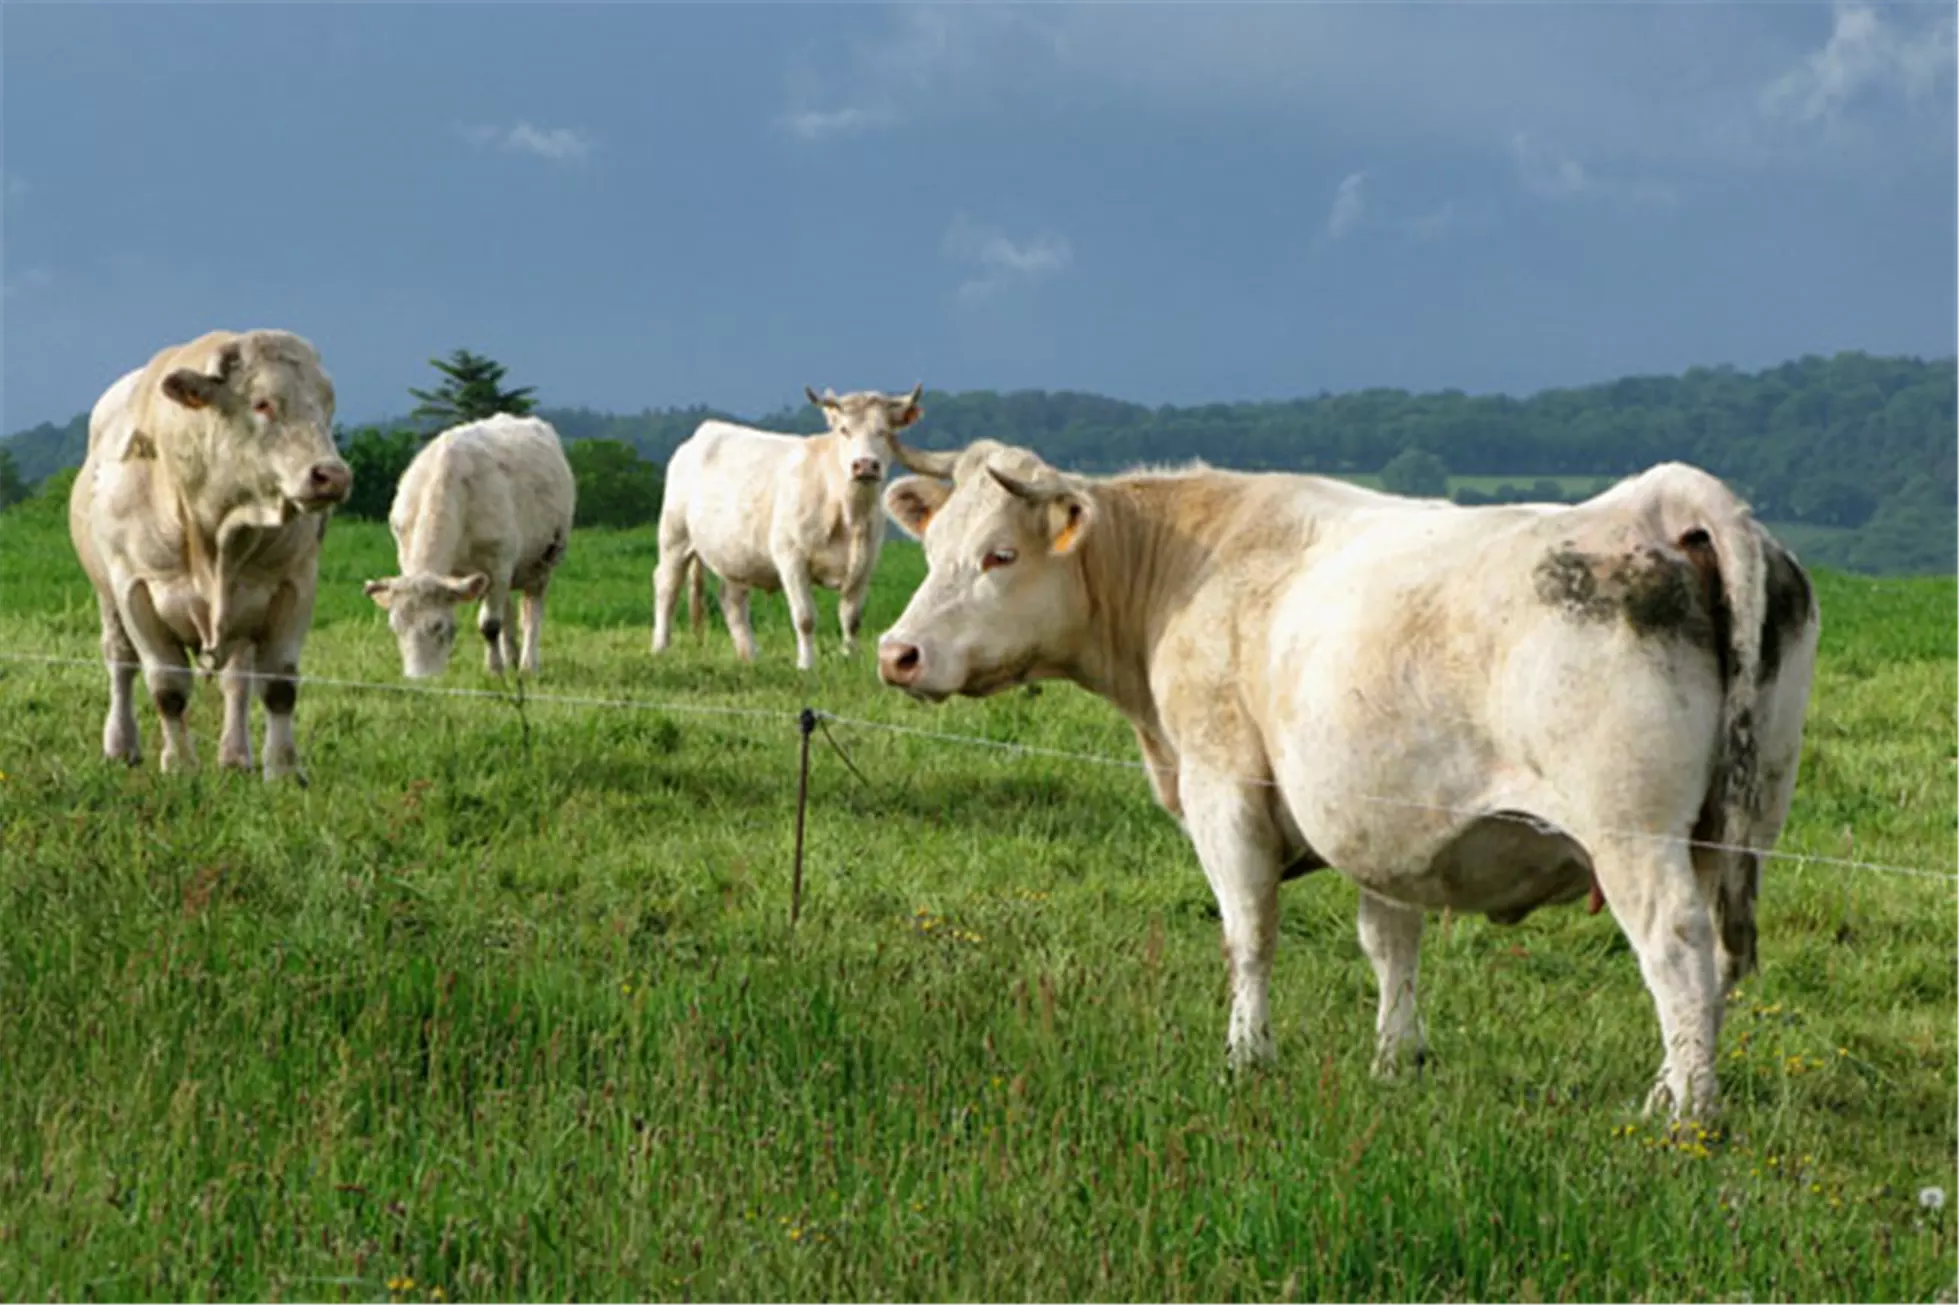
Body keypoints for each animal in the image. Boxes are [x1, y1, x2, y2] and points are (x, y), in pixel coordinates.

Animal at [68, 327, 352, 772]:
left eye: (326, 406)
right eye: (262, 403)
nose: (333, 476)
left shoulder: (295, 585)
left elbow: (279, 686)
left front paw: (284, 769)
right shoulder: (134, 589)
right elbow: (167, 686)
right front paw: (180, 764)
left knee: (236, 682)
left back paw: (235, 756)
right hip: (107, 596)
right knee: (120, 662)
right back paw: (121, 746)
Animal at [364, 413, 572, 681]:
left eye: (438, 625)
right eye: (395, 627)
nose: (418, 679)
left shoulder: (498, 566)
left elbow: (490, 625)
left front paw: (494, 670)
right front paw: (499, 664)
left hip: (543, 562)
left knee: (531, 611)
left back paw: (527, 665)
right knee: (509, 610)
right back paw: (512, 657)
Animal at [650, 384, 932, 670]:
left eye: (884, 431)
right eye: (844, 430)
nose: (864, 465)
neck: (849, 513)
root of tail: (706, 430)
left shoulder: (865, 563)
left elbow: (851, 618)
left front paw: (851, 659)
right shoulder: (791, 557)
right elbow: (805, 617)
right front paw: (806, 665)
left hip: (736, 553)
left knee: (732, 599)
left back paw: (750, 655)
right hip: (675, 536)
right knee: (666, 586)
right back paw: (660, 647)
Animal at [877, 438, 1817, 1120]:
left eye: (999, 555)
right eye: (931, 547)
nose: (897, 652)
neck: (1182, 568)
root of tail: (1664, 501)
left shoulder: (1223, 786)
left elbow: (1248, 933)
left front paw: (1245, 1058)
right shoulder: (1386, 817)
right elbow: (1390, 943)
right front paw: (1394, 1062)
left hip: (1632, 835)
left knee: (1676, 949)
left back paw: (1684, 1115)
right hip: (1740, 822)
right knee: (1714, 964)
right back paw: (1667, 1090)